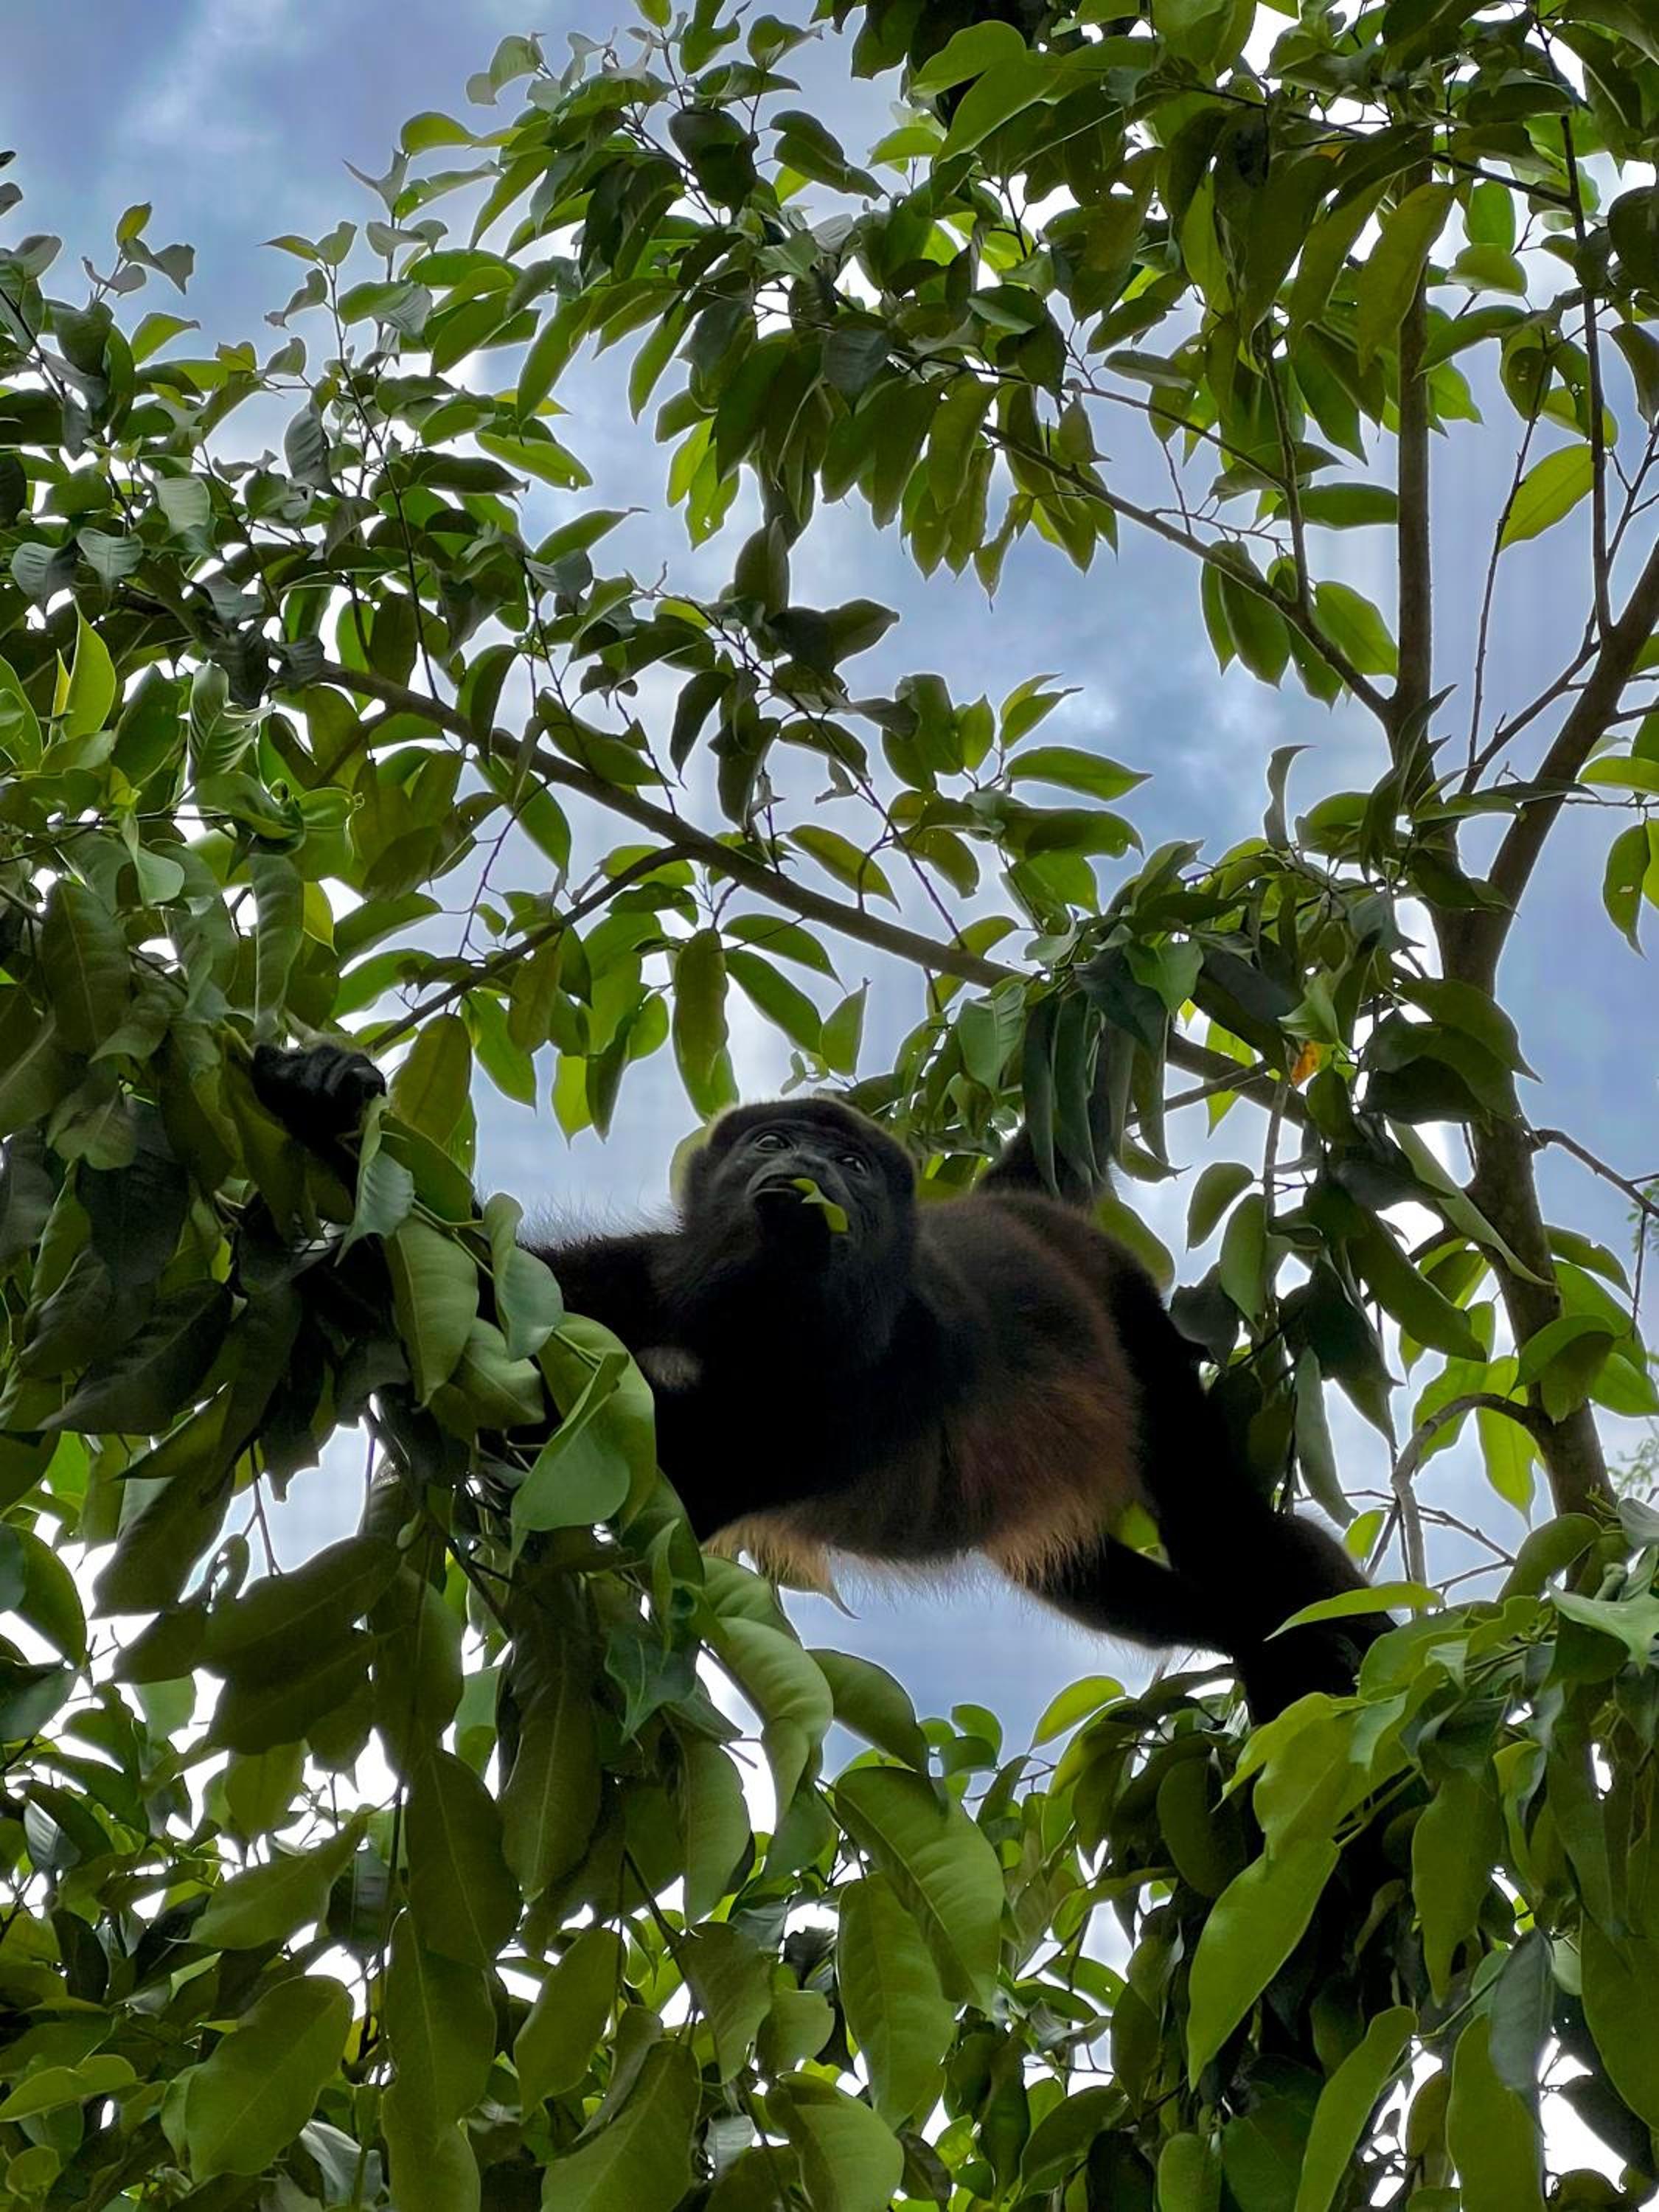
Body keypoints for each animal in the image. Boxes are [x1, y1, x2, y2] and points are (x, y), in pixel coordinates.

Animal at [252, 1043, 1390, 1719]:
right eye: (774, 1138)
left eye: (847, 1164)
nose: (803, 1166)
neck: (763, 1319)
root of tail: (1013, 1208)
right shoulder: (648, 1278)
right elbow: (494, 1301)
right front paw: (331, 1113)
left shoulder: (894, 1369)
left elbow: (680, 1476)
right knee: (1100, 1583)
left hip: (1132, 1313)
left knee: (1227, 1527)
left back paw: (1335, 1652)